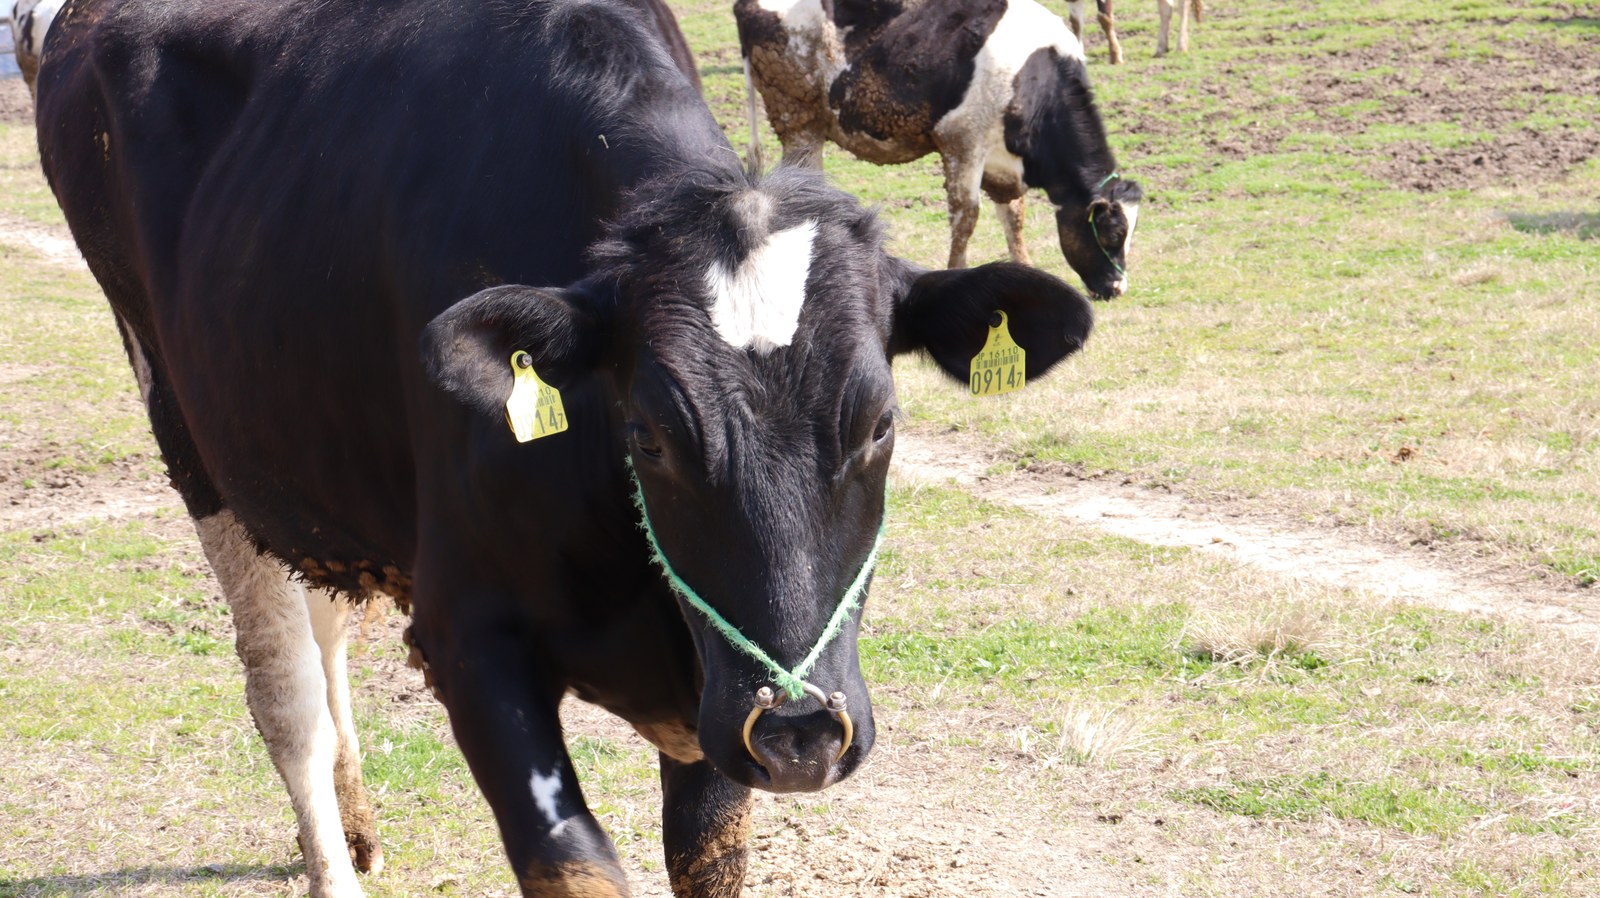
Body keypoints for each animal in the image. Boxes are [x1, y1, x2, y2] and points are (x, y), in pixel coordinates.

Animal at [35, 1, 1096, 896]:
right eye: (651, 435)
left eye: (881, 425)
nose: (801, 729)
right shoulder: (469, 640)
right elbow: (576, 864)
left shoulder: (710, 696)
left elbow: (707, 851)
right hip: (189, 435)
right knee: (284, 689)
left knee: (328, 626)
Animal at [736, 0, 1145, 299]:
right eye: (1111, 235)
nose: (1117, 288)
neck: (1034, 79)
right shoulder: (962, 141)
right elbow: (967, 217)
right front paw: (956, 271)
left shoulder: (1003, 163)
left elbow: (1013, 215)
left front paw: (1027, 269)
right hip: (798, 120)